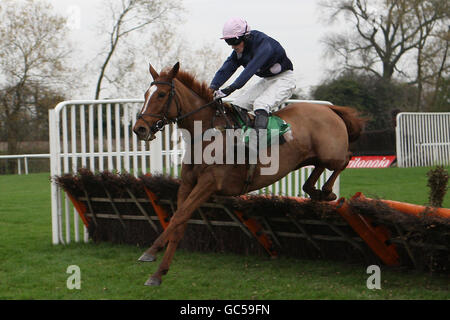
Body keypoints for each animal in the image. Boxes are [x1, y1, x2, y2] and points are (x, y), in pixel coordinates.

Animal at [132, 62, 364, 284]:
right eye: (145, 94)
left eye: (161, 94)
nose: (139, 129)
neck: (208, 133)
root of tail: (331, 110)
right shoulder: (188, 183)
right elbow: (179, 220)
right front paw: (158, 273)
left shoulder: (209, 183)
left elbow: (179, 216)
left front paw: (150, 251)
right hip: (312, 156)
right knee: (316, 172)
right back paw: (318, 192)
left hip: (331, 153)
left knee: (347, 158)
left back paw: (327, 191)